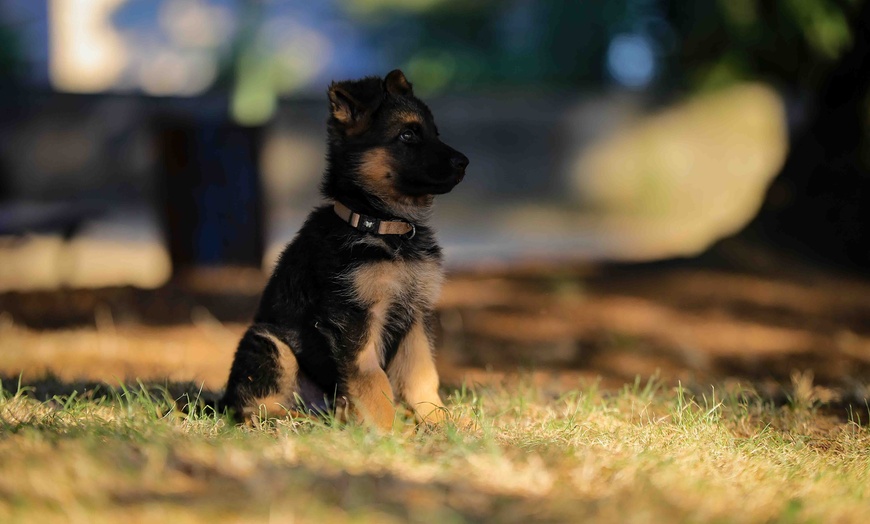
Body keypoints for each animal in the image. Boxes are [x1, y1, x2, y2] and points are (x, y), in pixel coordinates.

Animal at [221, 69, 474, 430]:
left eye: (435, 133)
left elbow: (422, 374)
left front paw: (439, 420)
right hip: (268, 342)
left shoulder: (415, 314)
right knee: (253, 408)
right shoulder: (353, 317)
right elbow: (372, 379)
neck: (383, 224)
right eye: (408, 135)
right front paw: (390, 431)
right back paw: (301, 421)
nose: (464, 162)